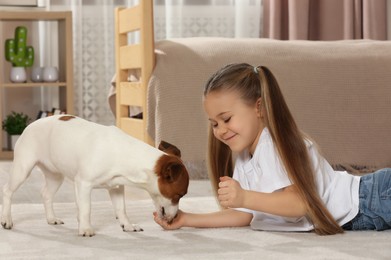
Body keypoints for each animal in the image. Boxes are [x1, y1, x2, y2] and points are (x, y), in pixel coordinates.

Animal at [0, 115, 190, 237]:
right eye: (179, 195)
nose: (175, 217)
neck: (124, 154)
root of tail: (29, 126)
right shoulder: (83, 184)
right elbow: (86, 208)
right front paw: (85, 228)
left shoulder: (116, 187)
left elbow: (121, 209)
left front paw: (128, 226)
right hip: (23, 168)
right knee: (7, 191)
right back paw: (7, 219)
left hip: (55, 176)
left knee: (46, 194)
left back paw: (51, 219)